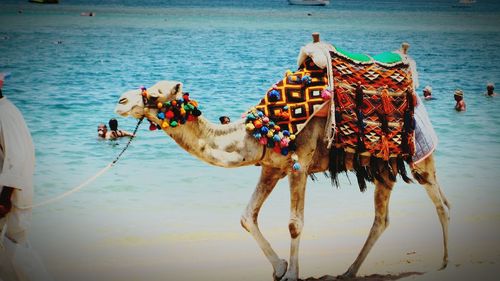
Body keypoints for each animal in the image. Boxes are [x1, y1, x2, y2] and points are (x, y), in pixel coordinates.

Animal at [115, 79, 452, 280]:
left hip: (420, 159)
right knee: (382, 219)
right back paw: (348, 271)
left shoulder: (299, 163)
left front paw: (292, 274)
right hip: (383, 168)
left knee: (441, 204)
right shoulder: (270, 168)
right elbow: (246, 217)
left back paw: (445, 263)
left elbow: (294, 224)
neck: (259, 131)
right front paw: (279, 268)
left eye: (154, 94)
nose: (120, 100)